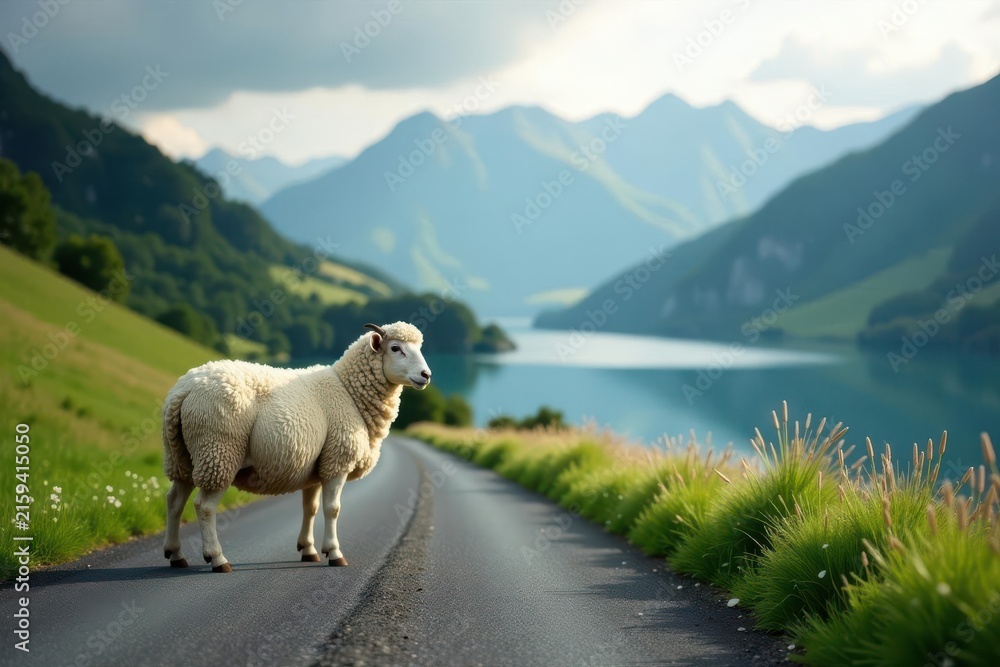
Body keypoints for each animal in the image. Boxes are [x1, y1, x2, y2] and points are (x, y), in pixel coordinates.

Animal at [160, 322, 431, 572]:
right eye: (395, 348)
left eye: (419, 348)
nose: (426, 375)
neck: (348, 391)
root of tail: (184, 389)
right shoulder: (338, 461)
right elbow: (333, 509)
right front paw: (335, 553)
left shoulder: (317, 466)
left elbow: (310, 508)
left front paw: (309, 549)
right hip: (218, 450)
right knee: (204, 507)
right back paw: (217, 558)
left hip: (183, 456)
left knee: (174, 501)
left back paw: (176, 555)